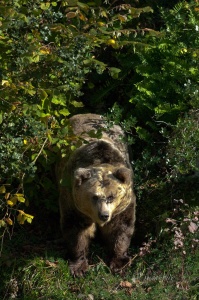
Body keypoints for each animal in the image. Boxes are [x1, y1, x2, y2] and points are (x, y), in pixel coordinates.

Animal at [56, 113, 136, 276]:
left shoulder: (123, 206)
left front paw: (119, 262)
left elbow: (120, 228)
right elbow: (77, 230)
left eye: (111, 196)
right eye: (94, 196)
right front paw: (79, 266)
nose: (104, 215)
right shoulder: (72, 200)